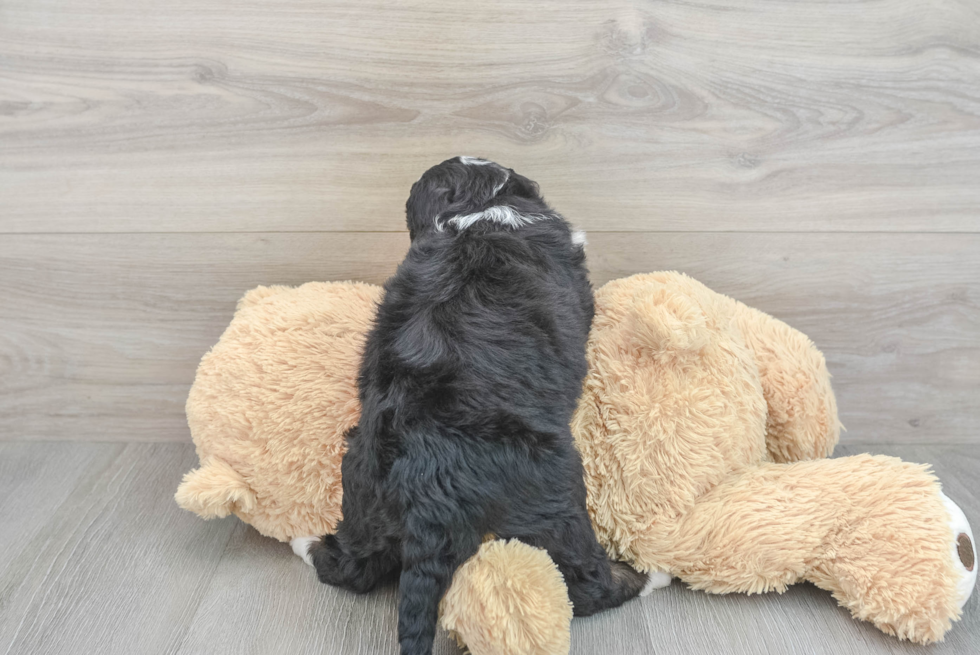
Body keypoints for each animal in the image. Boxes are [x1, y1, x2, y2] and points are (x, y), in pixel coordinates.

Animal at [302, 156, 648, 652]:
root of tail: (427, 472)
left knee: (351, 566)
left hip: (362, 489)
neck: (478, 206)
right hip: (553, 497)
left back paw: (312, 547)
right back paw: (637, 579)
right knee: (584, 580)